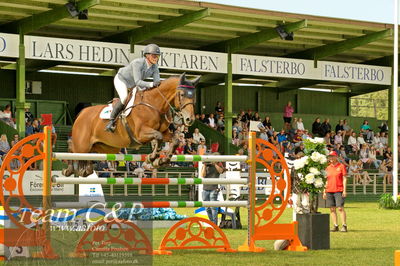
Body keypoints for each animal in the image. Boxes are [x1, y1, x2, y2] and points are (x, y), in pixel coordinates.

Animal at [63, 72, 199, 177]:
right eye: (182, 94)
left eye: (194, 97)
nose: (189, 119)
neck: (154, 104)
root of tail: (81, 113)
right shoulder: (140, 134)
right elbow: (158, 136)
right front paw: (152, 158)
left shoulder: (165, 133)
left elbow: (174, 140)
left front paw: (162, 160)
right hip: (82, 145)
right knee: (71, 148)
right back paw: (69, 170)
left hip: (103, 146)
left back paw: (86, 170)